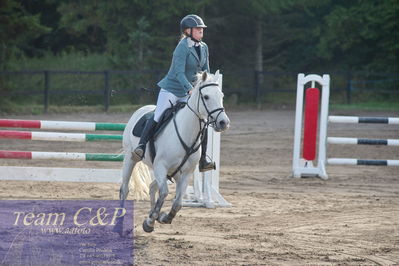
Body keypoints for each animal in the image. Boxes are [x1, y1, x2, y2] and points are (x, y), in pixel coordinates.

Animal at [120, 70, 230, 233]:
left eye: (221, 95)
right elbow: (164, 192)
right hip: (130, 158)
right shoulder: (161, 166)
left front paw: (162, 217)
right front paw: (150, 221)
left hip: (173, 172)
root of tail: (141, 109)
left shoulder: (186, 173)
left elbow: (178, 203)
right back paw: (119, 224)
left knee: (152, 187)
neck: (186, 131)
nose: (224, 123)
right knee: (125, 189)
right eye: (206, 97)